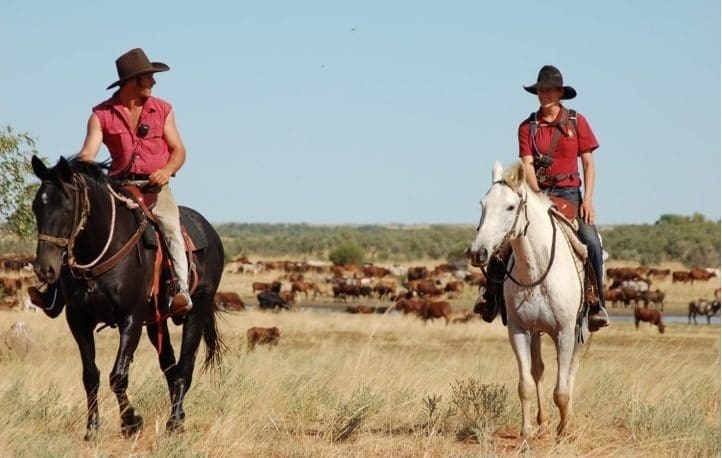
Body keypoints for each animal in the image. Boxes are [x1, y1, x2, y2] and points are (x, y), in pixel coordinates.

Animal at [31, 156, 224, 438]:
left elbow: (118, 376)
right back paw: (178, 416)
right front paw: (92, 428)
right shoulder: (78, 320)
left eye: (66, 207)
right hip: (157, 322)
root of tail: (210, 231)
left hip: (196, 312)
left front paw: (131, 422)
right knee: (170, 366)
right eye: (36, 207)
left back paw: (174, 423)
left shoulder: (131, 319)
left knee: (185, 368)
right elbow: (90, 375)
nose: (45, 269)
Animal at [464, 161, 588, 440]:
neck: (536, 270)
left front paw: (564, 430)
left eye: (511, 206)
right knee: (539, 369)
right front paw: (527, 431)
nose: (478, 252)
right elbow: (526, 383)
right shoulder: (519, 330)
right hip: (537, 331)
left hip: (582, 330)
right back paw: (542, 422)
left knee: (571, 371)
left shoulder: (566, 331)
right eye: (482, 204)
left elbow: (561, 389)